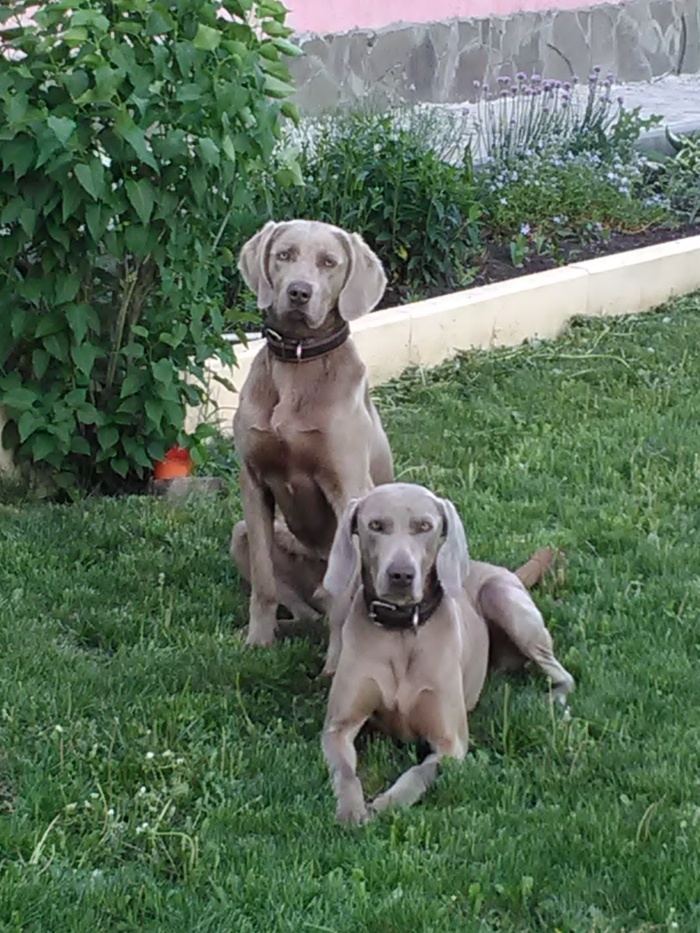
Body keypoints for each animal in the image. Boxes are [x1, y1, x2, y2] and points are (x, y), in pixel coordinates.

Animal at [230, 220, 394, 648]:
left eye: (328, 262)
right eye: (284, 254)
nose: (299, 292)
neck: (299, 360)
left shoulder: (347, 487)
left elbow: (343, 602)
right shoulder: (254, 483)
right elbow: (265, 583)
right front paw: (258, 641)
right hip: (242, 534)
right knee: (308, 611)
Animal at [322, 480, 576, 824]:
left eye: (424, 526)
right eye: (375, 525)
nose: (401, 575)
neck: (402, 630)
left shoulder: (451, 743)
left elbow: (418, 773)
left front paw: (387, 804)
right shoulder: (338, 726)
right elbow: (346, 771)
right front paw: (351, 810)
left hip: (505, 600)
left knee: (564, 674)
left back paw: (552, 700)